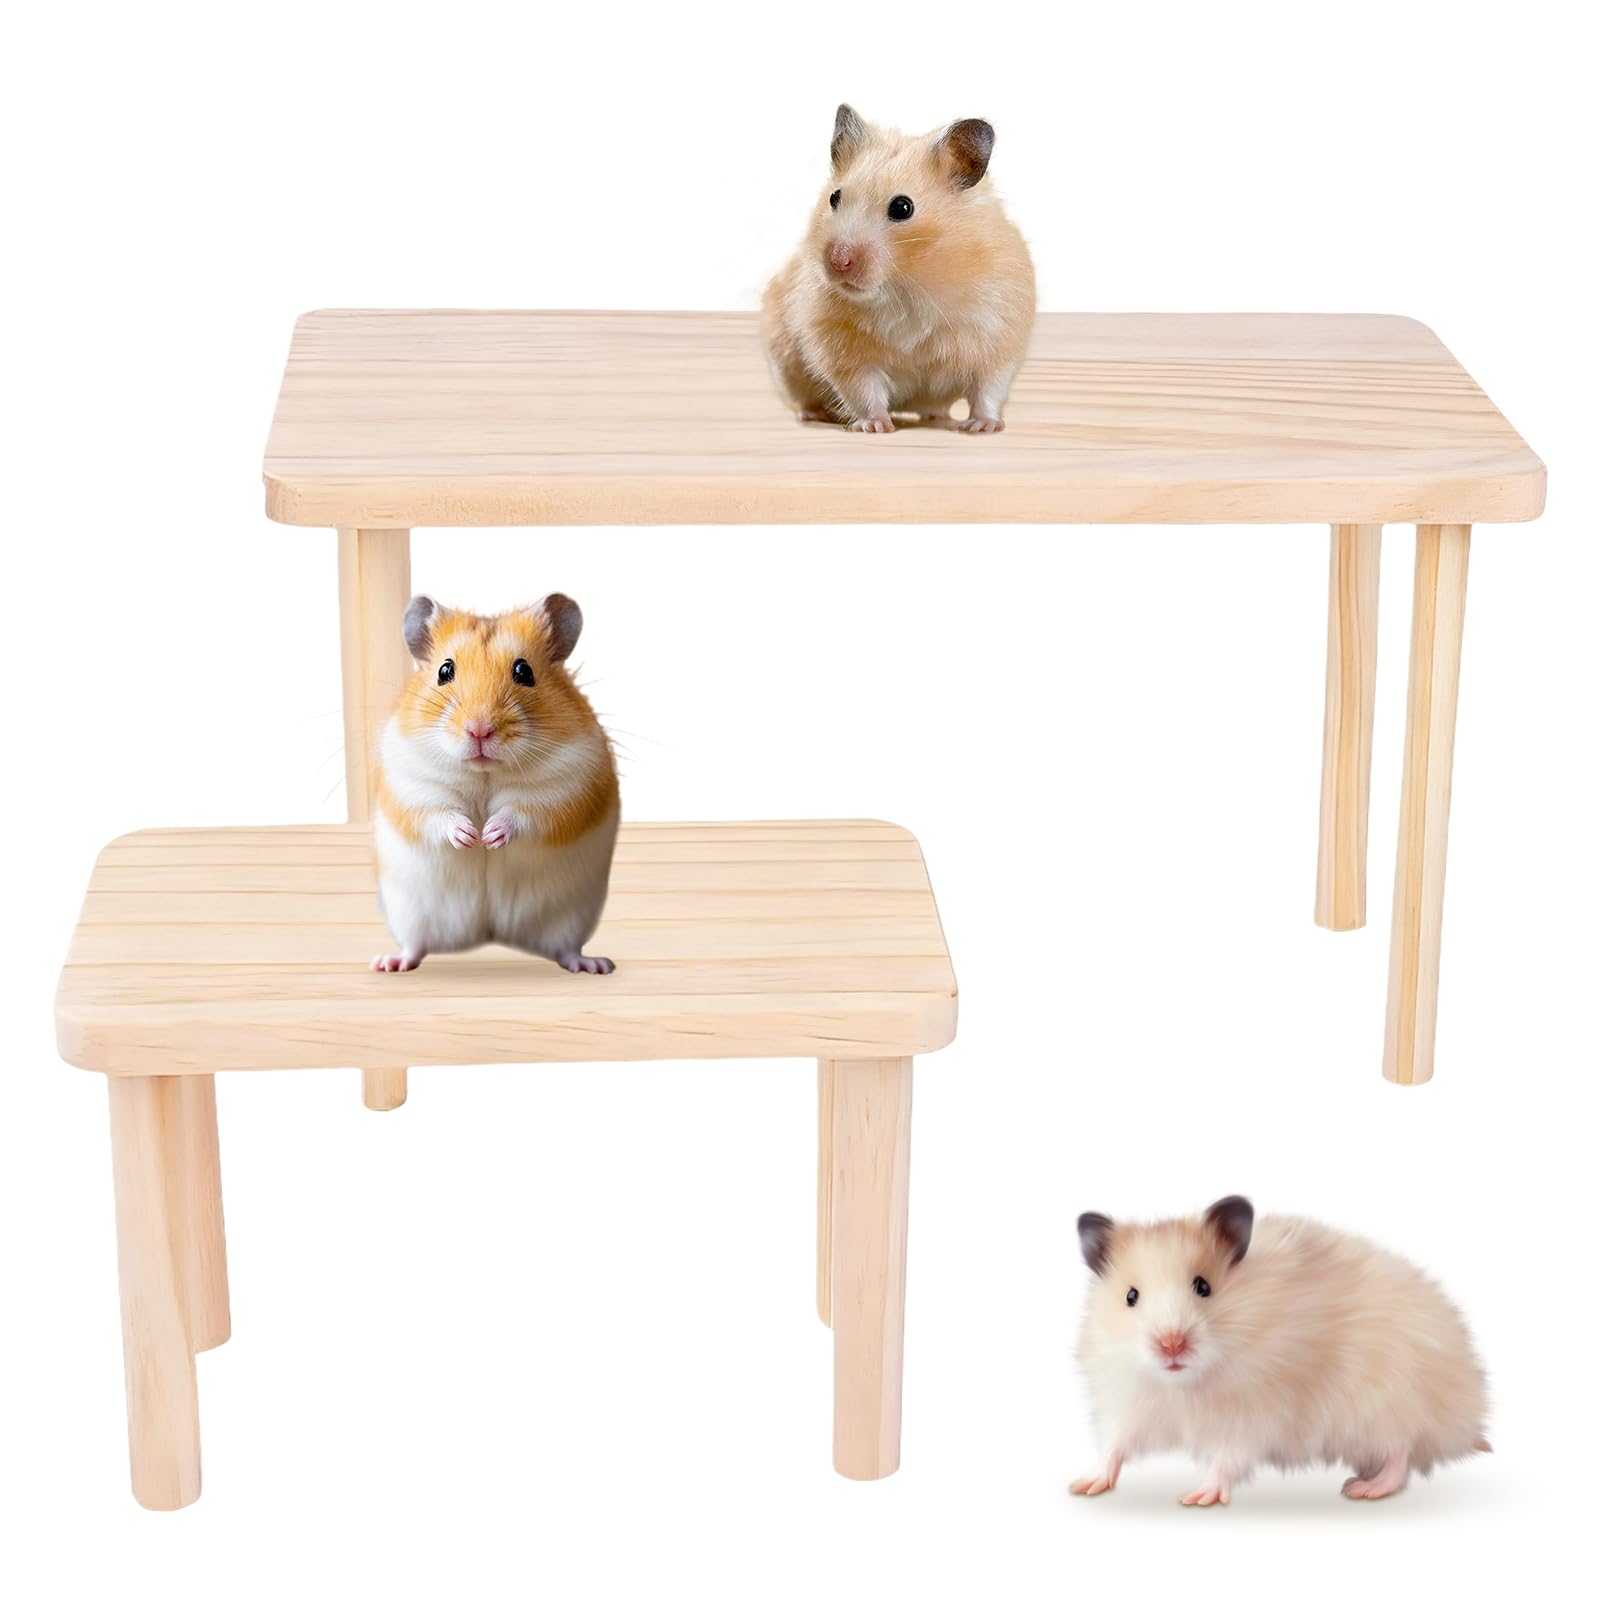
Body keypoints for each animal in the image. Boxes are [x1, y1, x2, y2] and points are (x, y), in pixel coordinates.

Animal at [368, 593, 619, 977]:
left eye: (524, 671)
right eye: (444, 671)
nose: (479, 730)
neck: (485, 773)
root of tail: (490, 932)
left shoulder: (568, 785)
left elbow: (523, 813)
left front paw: (490, 836)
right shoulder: (413, 785)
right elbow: (439, 813)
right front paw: (469, 837)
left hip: (570, 917)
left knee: (565, 948)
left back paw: (594, 966)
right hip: (409, 913)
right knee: (415, 945)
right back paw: (387, 964)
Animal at [762, 104, 1035, 433]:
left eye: (902, 208)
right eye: (834, 198)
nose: (838, 261)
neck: (906, 285)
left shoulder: (997, 337)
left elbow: (987, 389)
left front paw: (982, 427)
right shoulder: (844, 351)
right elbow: (864, 389)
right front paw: (875, 426)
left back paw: (941, 418)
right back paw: (814, 415)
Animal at [1070, 1196, 1490, 1506]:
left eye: (1203, 1286)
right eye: (1131, 1296)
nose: (1171, 1344)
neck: (1185, 1383)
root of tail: (1465, 1418)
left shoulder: (1255, 1415)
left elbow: (1227, 1457)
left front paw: (1197, 1497)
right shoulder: (1130, 1404)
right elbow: (1114, 1447)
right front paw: (1085, 1485)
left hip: (1389, 1401)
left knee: (1401, 1452)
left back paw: (1363, 1489)